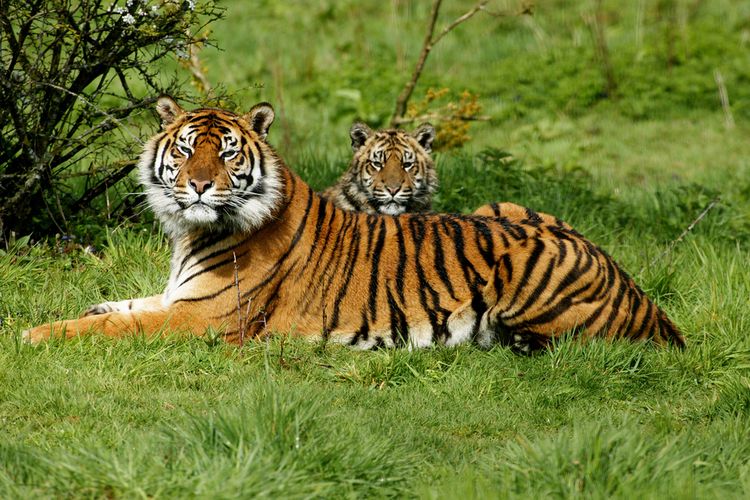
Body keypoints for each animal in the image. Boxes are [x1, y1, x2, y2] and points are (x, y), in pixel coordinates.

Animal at [23, 99, 684, 354]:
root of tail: (639, 292)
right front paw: (90, 308)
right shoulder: (175, 299)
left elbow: (108, 328)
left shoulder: (201, 318)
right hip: (507, 207)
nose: (201, 186)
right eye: (186, 149)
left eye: (228, 153)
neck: (193, 232)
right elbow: (120, 307)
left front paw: (31, 334)